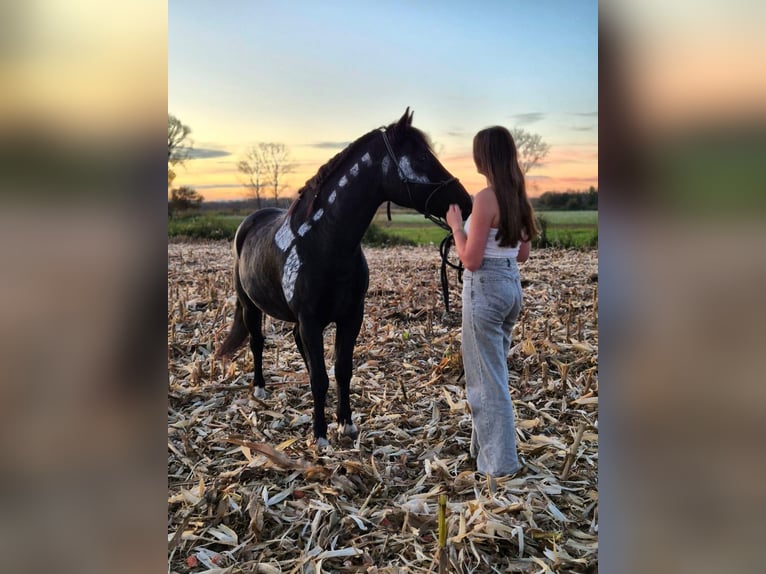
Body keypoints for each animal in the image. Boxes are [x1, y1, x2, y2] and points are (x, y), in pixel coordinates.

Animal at [217, 108, 473, 448]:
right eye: (420, 156)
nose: (466, 201)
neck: (324, 242)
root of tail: (248, 223)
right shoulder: (310, 320)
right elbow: (319, 377)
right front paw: (320, 435)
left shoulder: (351, 316)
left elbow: (341, 369)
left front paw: (345, 424)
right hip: (250, 305)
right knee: (257, 342)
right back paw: (259, 389)